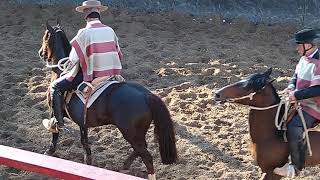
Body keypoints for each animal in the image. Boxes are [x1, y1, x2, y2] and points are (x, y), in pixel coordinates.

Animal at [38, 20, 178, 179]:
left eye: (45, 37)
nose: (41, 53)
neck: (62, 71)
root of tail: (146, 95)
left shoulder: (54, 110)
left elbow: (55, 132)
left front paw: (49, 150)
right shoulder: (82, 122)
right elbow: (84, 142)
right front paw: (88, 161)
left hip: (130, 133)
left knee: (146, 156)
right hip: (136, 134)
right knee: (140, 150)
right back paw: (124, 166)